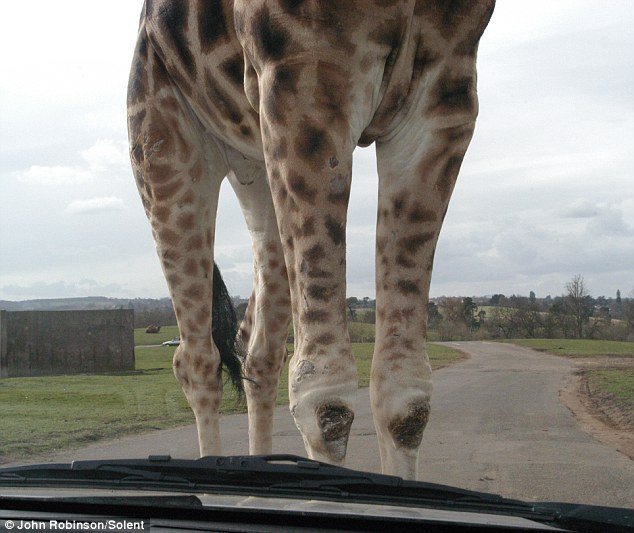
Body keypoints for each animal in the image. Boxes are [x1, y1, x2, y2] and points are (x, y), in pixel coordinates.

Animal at [127, 0, 494, 480]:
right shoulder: (303, 69)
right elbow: (325, 400)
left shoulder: (444, 96)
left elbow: (407, 397)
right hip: (163, 146)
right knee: (196, 359)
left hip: (259, 172)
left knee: (257, 348)